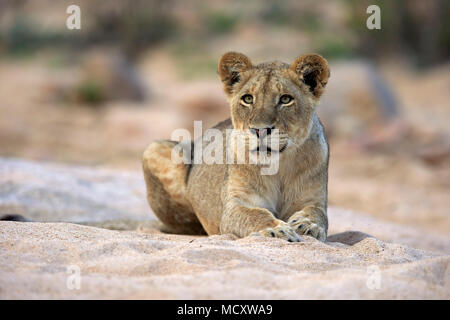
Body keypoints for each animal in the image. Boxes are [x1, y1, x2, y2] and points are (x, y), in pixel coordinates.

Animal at [142, 52, 328, 242]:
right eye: (248, 98)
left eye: (285, 99)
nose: (260, 130)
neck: (277, 168)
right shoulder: (234, 206)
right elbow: (255, 215)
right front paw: (276, 229)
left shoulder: (313, 199)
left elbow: (318, 213)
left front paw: (308, 225)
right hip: (155, 148)